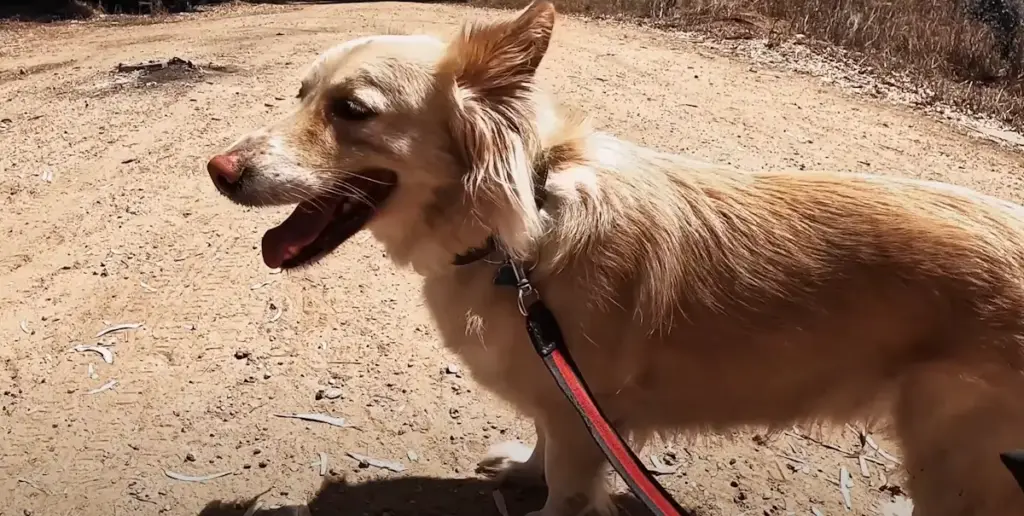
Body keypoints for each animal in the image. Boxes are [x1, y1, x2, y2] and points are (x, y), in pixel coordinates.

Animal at [203, 3, 1024, 511]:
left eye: (352, 111)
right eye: (300, 94)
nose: (218, 170)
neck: (520, 236)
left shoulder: (584, 420)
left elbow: (567, 490)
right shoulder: (562, 396)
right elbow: (543, 445)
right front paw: (521, 471)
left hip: (954, 465)